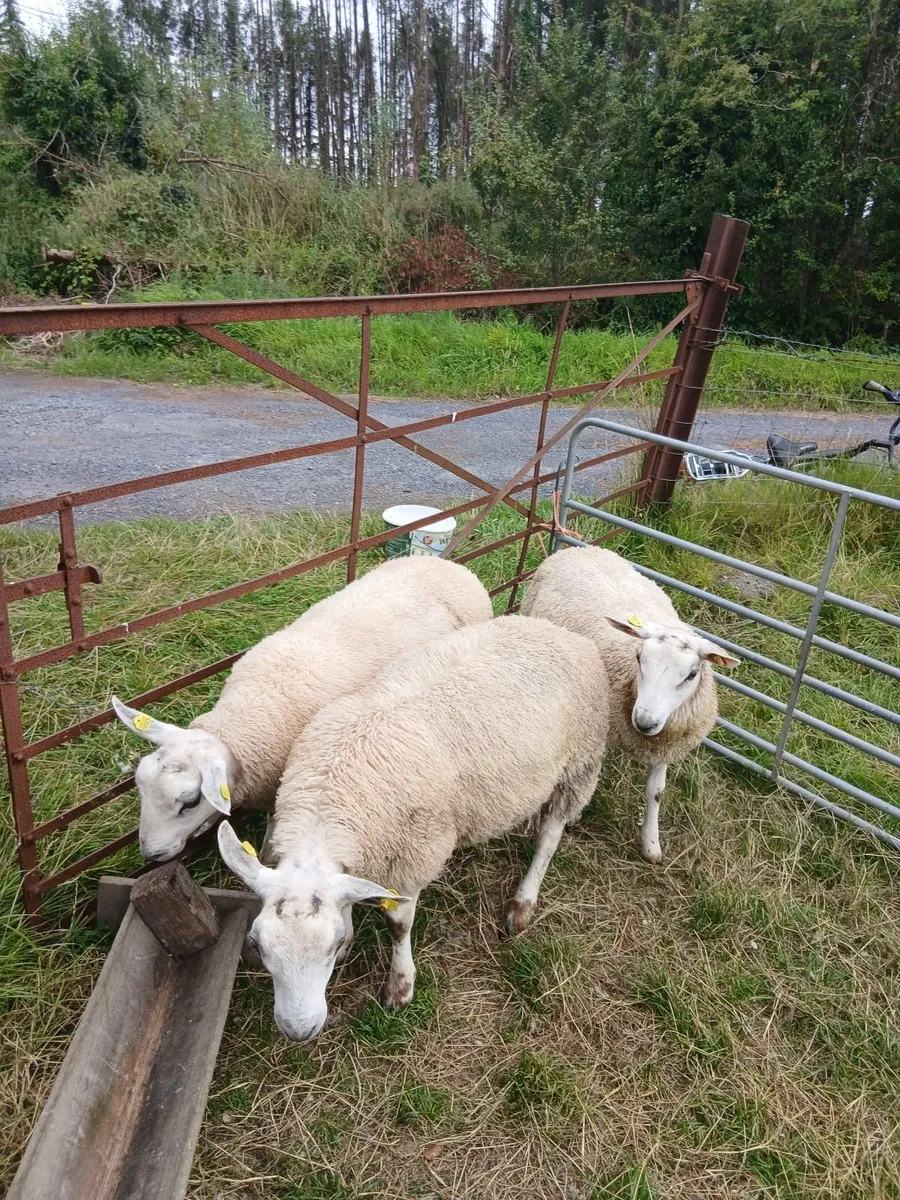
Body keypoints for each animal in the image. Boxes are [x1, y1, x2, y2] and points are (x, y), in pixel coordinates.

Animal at [216, 613, 610, 1041]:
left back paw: (523, 901)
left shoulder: (413, 855)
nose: (298, 1031)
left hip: (581, 761)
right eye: (257, 944)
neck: (331, 801)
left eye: (331, 946)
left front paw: (400, 986)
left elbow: (398, 925)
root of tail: (557, 630)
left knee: (551, 835)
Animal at [521, 546, 739, 865]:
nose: (644, 722)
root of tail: (582, 548)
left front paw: (651, 843)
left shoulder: (665, 743)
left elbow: (656, 792)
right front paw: (574, 816)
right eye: (639, 658)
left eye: (691, 675)